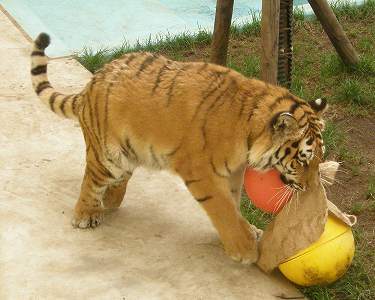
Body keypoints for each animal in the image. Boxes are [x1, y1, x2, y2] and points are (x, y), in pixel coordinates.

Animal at [30, 32, 328, 262]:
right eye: (302, 160)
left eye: (318, 159)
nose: (309, 187)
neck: (250, 132)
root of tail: (91, 84)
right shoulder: (200, 172)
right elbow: (223, 207)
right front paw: (244, 248)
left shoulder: (233, 171)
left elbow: (233, 202)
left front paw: (246, 232)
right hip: (107, 157)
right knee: (92, 179)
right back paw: (86, 214)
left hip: (128, 152)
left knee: (120, 177)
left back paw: (112, 200)